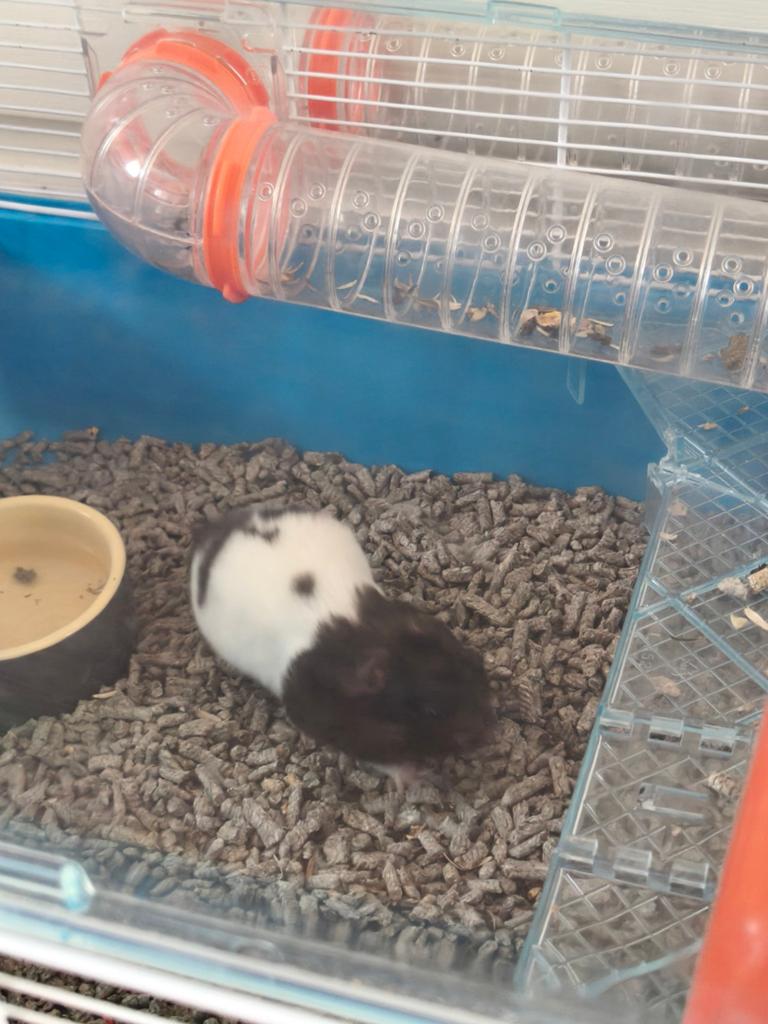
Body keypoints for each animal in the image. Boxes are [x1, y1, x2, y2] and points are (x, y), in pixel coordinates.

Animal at [190, 505, 493, 789]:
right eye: (431, 712)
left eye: (476, 663)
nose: (489, 734)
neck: (371, 638)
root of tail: (213, 530)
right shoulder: (336, 723)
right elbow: (381, 758)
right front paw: (419, 778)